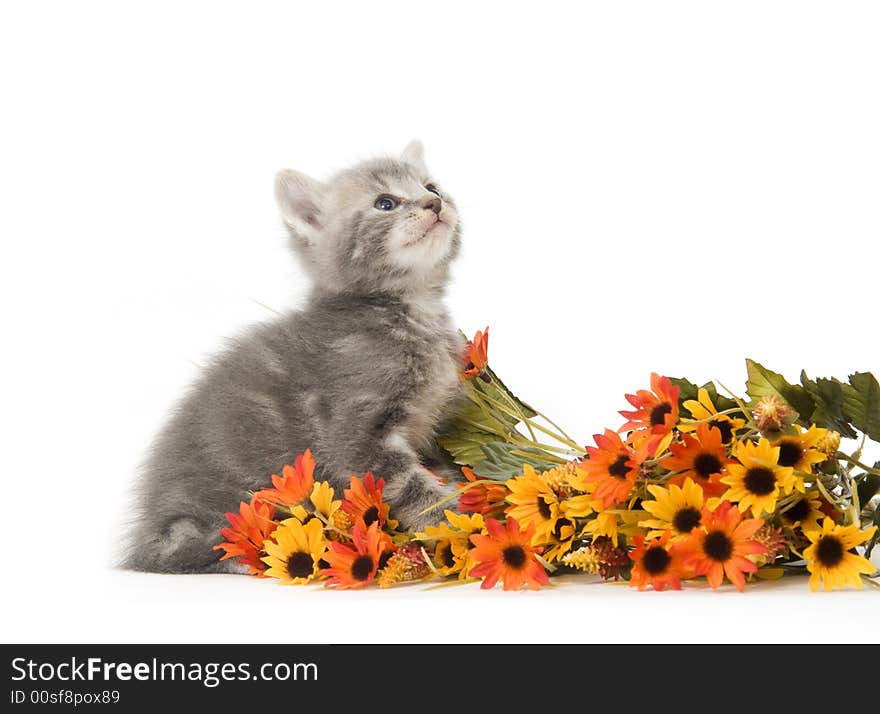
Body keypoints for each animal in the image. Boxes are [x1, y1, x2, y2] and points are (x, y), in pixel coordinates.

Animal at [125, 140, 468, 572]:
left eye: (431, 186)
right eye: (385, 203)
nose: (433, 203)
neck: (412, 306)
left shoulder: (431, 426)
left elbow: (438, 468)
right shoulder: (357, 432)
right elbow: (415, 488)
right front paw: (458, 522)